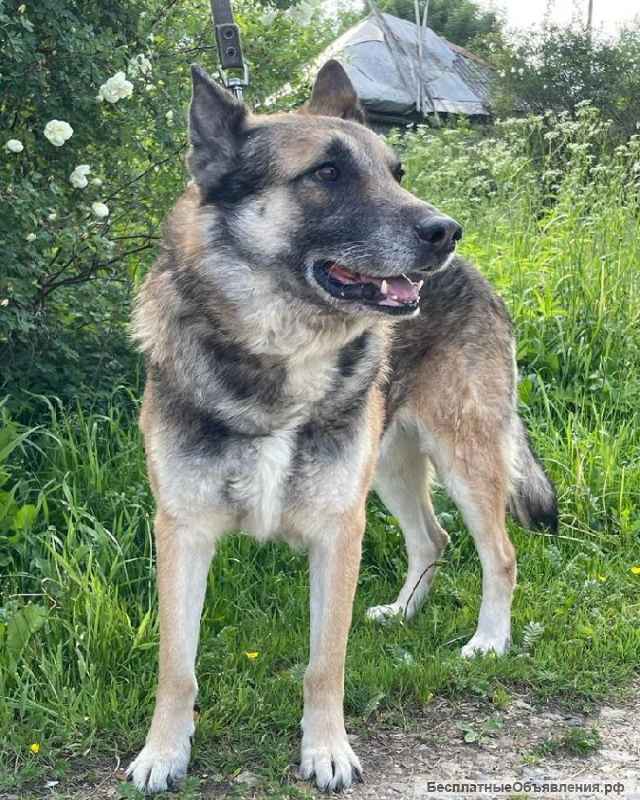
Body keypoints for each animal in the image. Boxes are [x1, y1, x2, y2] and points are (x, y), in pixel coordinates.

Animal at [127, 60, 557, 793]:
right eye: (325, 173)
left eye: (396, 171)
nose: (446, 231)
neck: (282, 351)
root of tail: (477, 274)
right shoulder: (183, 531)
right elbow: (175, 666)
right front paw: (164, 752)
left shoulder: (337, 529)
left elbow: (325, 662)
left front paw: (326, 750)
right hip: (388, 465)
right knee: (433, 538)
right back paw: (402, 612)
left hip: (462, 454)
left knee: (499, 553)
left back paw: (488, 641)